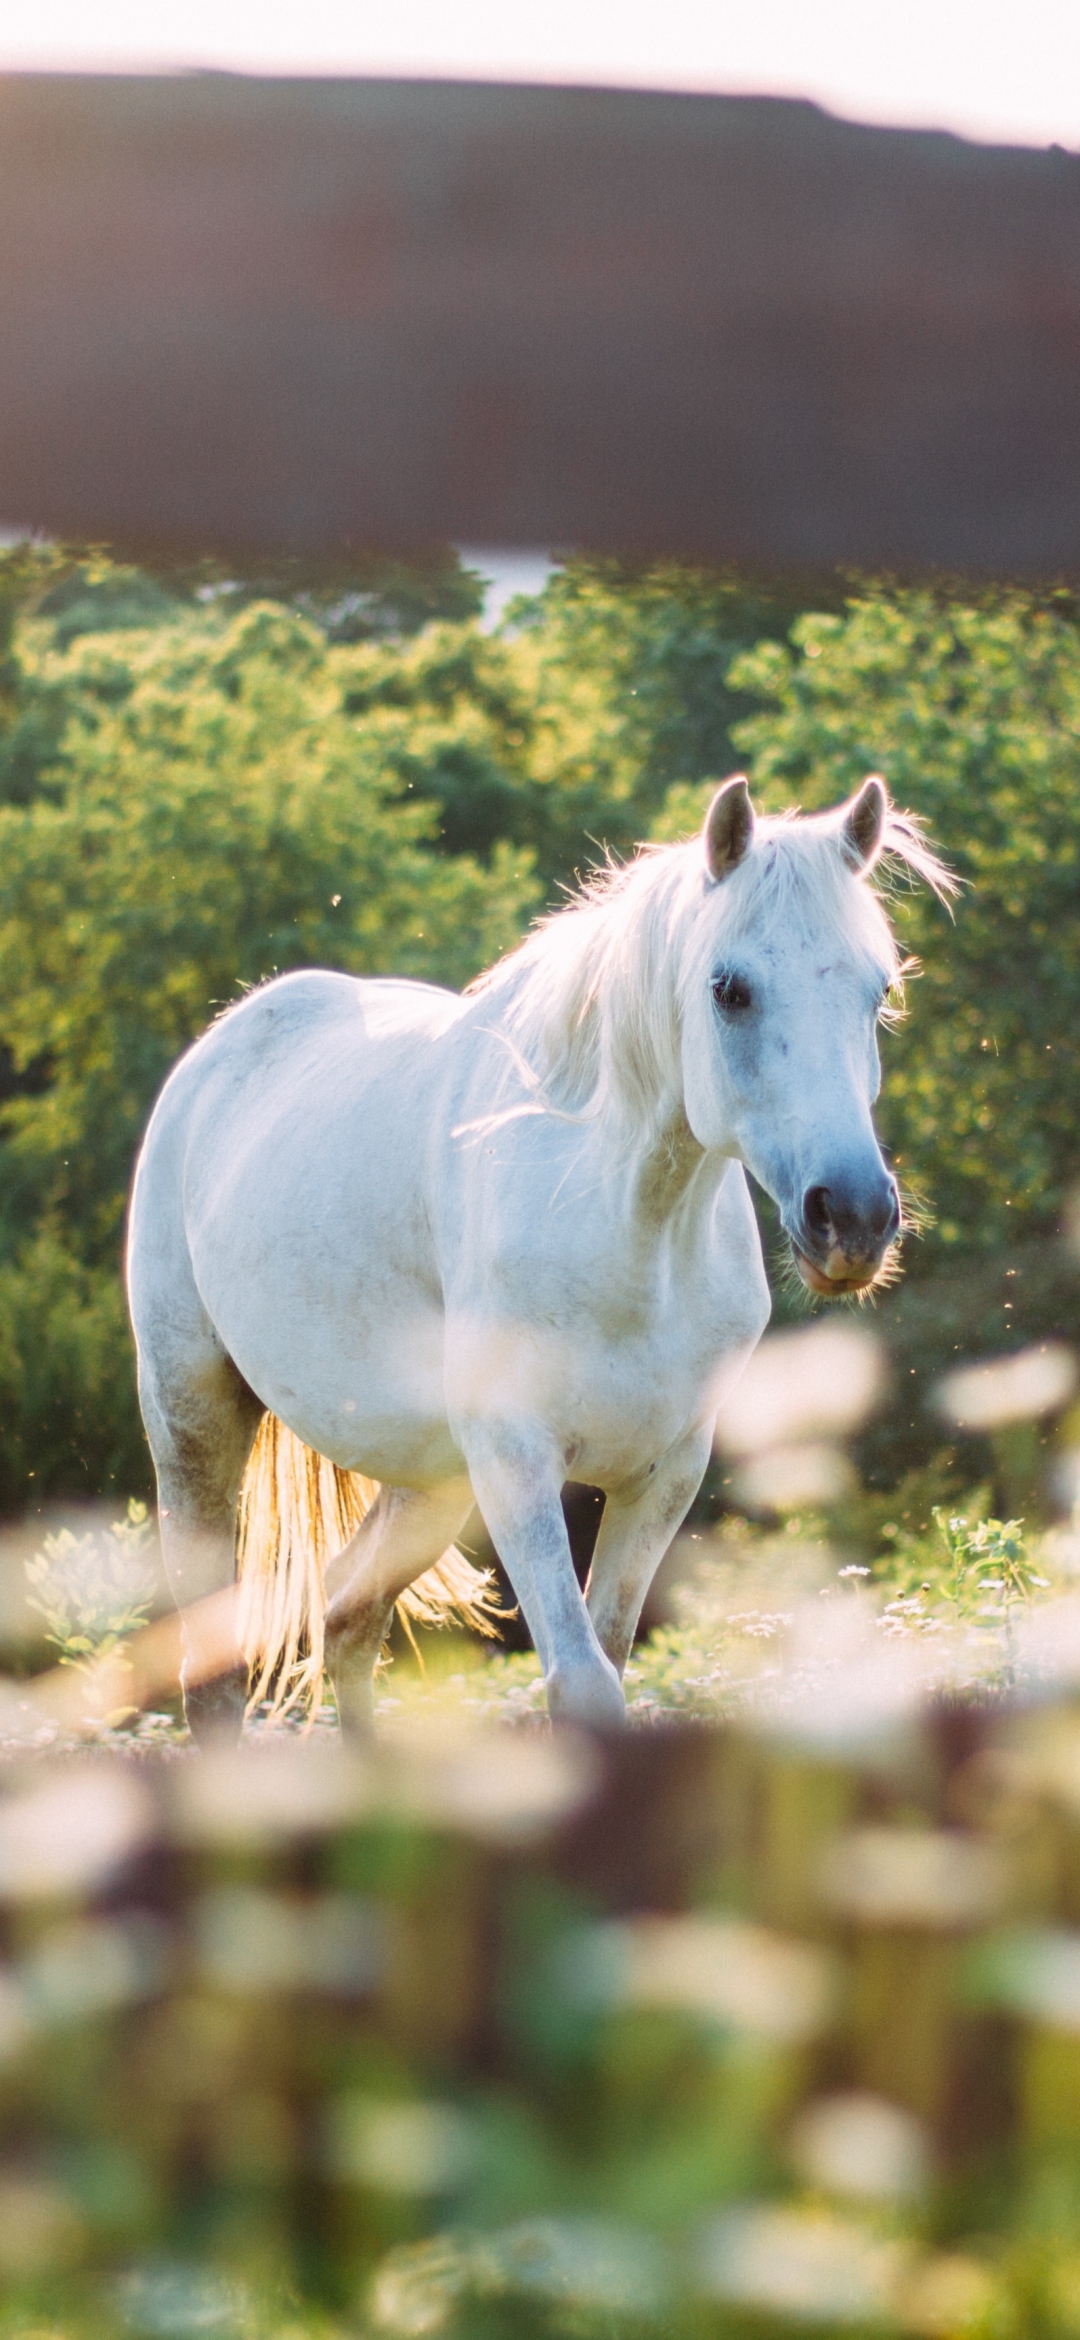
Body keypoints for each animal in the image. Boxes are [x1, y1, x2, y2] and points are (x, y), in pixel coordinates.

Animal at [130, 772, 949, 1740]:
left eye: (877, 991)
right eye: (729, 988)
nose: (852, 1217)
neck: (626, 1240)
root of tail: (222, 1047)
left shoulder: (663, 1475)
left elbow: (611, 1657)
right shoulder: (518, 1463)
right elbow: (582, 1682)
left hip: (433, 1482)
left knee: (348, 1619)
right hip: (194, 1421)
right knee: (212, 1669)